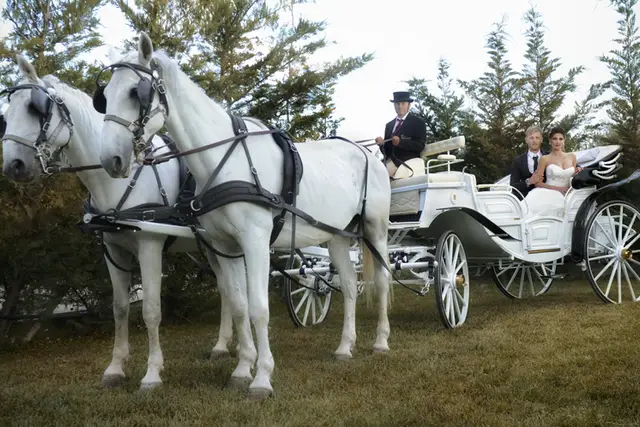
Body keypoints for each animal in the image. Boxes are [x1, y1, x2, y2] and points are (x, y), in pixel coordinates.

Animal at [0, 56, 236, 392]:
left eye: (35, 109)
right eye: (8, 114)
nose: (13, 165)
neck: (118, 182)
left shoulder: (149, 245)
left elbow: (151, 309)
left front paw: (152, 372)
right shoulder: (112, 248)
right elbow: (120, 308)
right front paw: (115, 368)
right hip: (214, 245)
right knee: (228, 289)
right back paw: (221, 346)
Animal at [97, 31, 392, 400]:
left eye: (136, 92)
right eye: (103, 96)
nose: (111, 159)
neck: (227, 158)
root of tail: (367, 151)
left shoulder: (254, 242)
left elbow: (258, 308)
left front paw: (262, 377)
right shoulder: (226, 246)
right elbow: (238, 306)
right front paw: (241, 369)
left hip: (376, 230)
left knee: (382, 280)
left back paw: (380, 342)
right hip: (337, 235)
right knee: (350, 287)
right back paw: (344, 347)